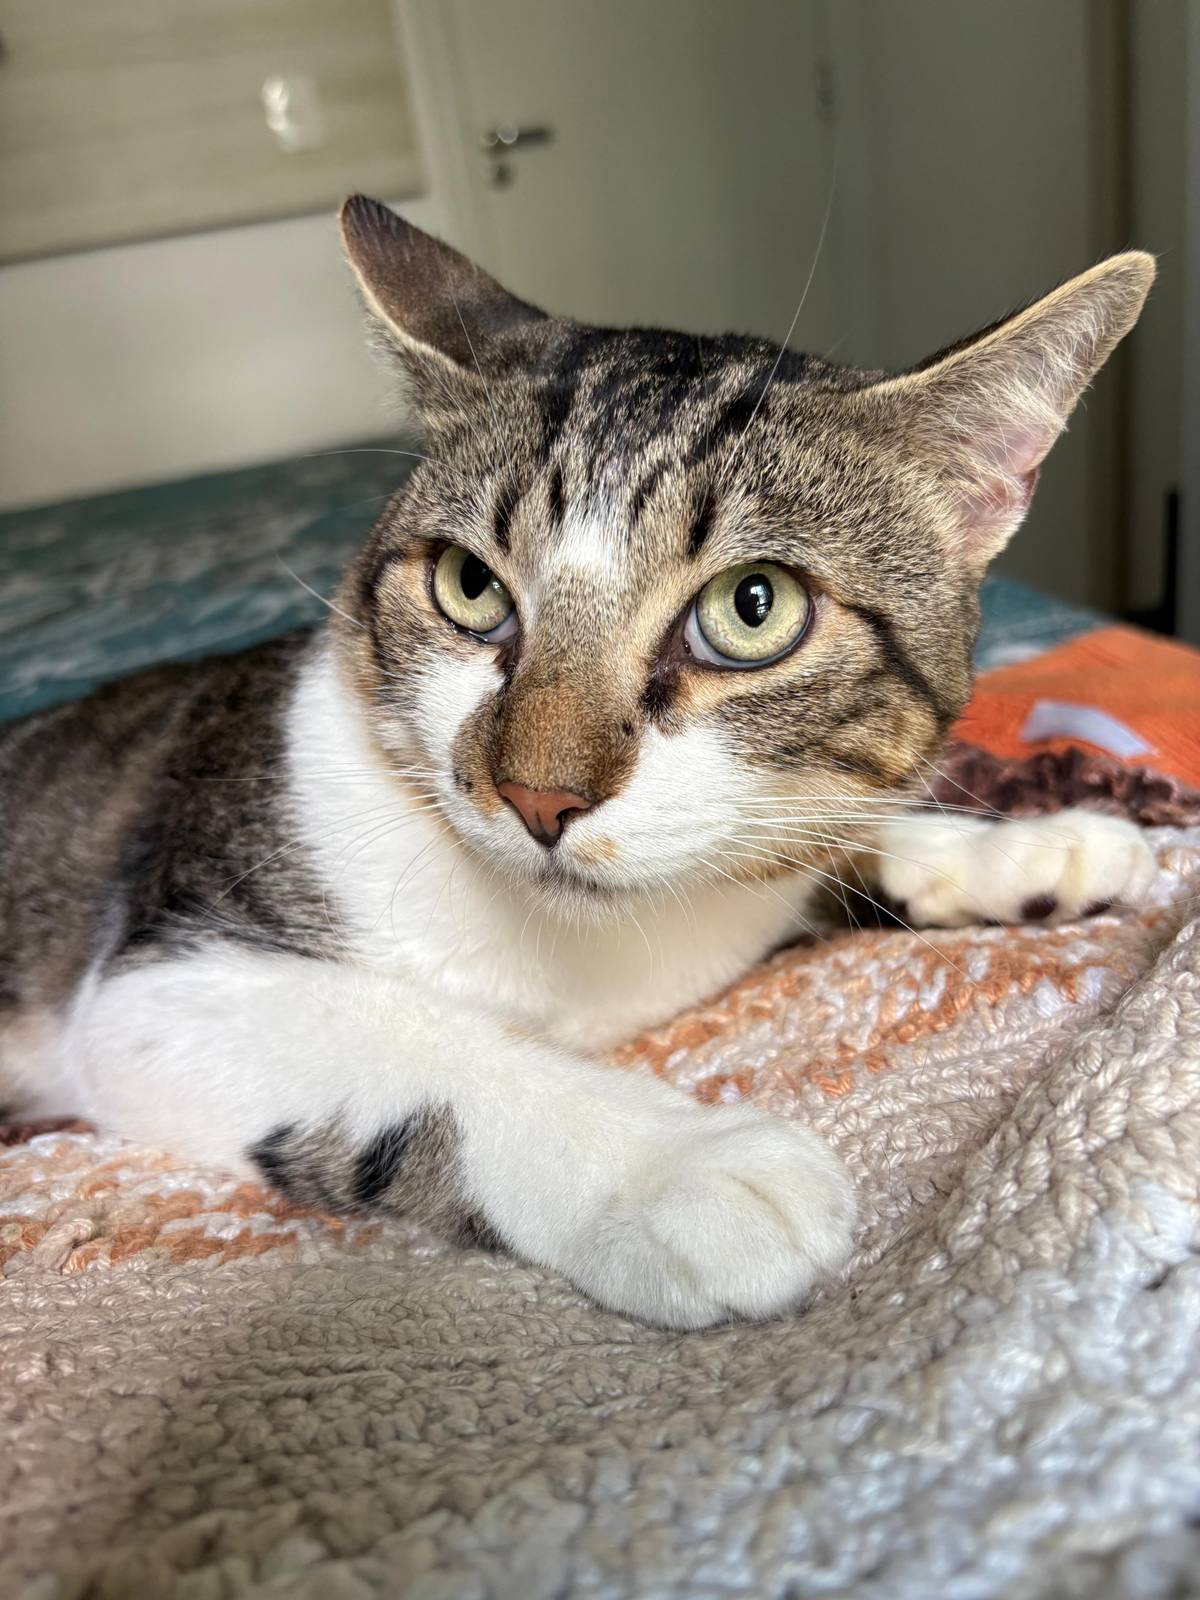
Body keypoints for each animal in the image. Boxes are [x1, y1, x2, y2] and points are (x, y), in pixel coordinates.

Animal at [0, 197, 1155, 1328]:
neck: (600, 952)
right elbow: (417, 1037)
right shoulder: (157, 987)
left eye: (753, 607)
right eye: (469, 585)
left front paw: (1025, 848)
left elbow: (829, 835)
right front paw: (674, 1165)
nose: (538, 795)